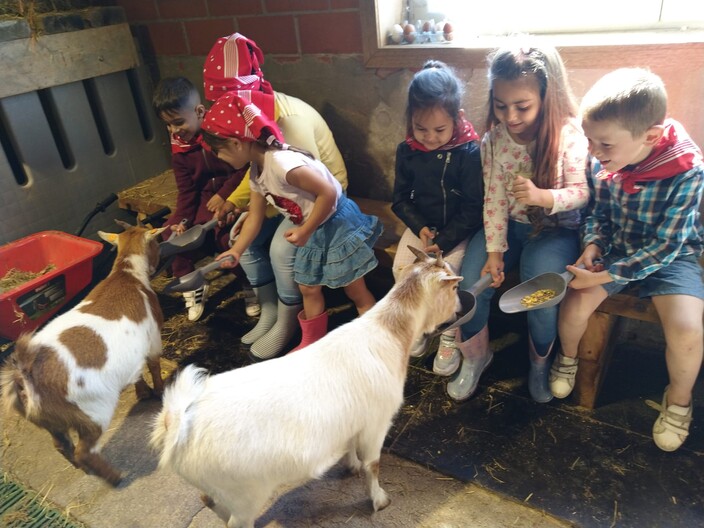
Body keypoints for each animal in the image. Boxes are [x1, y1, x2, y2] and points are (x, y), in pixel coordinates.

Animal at [1, 225, 166, 484]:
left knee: (61, 445)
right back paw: (114, 477)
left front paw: (142, 392)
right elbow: (154, 366)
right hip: (92, 412)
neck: (126, 273)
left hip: (51, 422)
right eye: (157, 242)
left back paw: (84, 469)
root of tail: (26, 376)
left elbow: (137, 373)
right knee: (84, 450)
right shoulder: (153, 339)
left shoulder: (133, 354)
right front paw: (158, 392)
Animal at [151, 248, 464, 528]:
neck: (388, 332)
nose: (460, 310)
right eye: (453, 286)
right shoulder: (377, 423)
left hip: (219, 489)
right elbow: (372, 465)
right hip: (244, 495)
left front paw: (350, 465)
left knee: (206, 499)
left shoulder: (354, 421)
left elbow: (351, 448)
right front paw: (379, 499)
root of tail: (175, 422)